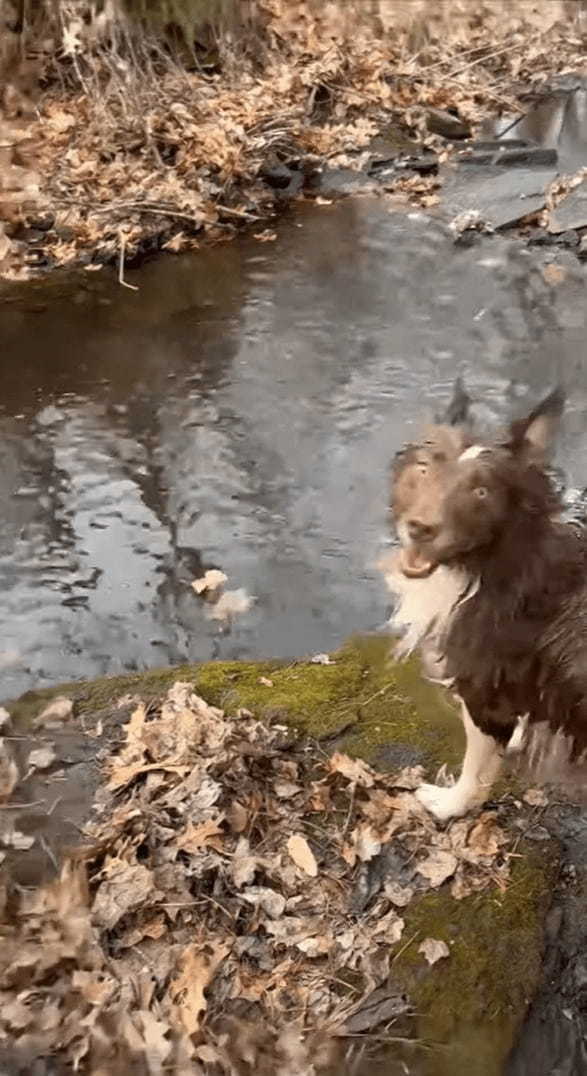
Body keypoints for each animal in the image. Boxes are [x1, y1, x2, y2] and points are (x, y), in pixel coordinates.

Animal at [382, 383, 584, 817]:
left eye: (481, 491)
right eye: (424, 468)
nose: (420, 528)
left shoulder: (484, 690)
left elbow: (476, 768)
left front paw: (449, 805)